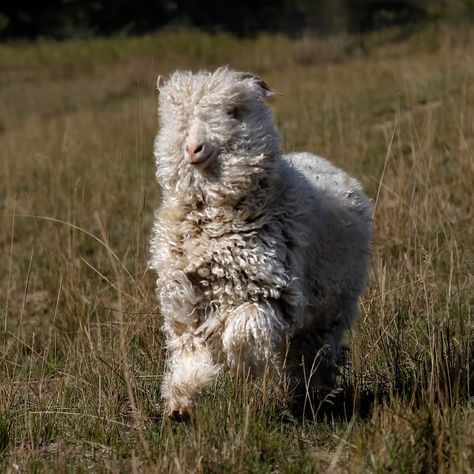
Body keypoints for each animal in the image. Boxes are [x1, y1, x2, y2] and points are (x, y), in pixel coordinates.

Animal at [150, 65, 372, 418]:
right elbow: (189, 350)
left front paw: (240, 371)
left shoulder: (267, 294)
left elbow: (240, 337)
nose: (192, 149)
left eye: (233, 111)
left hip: (330, 311)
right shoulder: (184, 300)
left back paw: (309, 394)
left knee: (310, 353)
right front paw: (182, 401)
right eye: (175, 114)